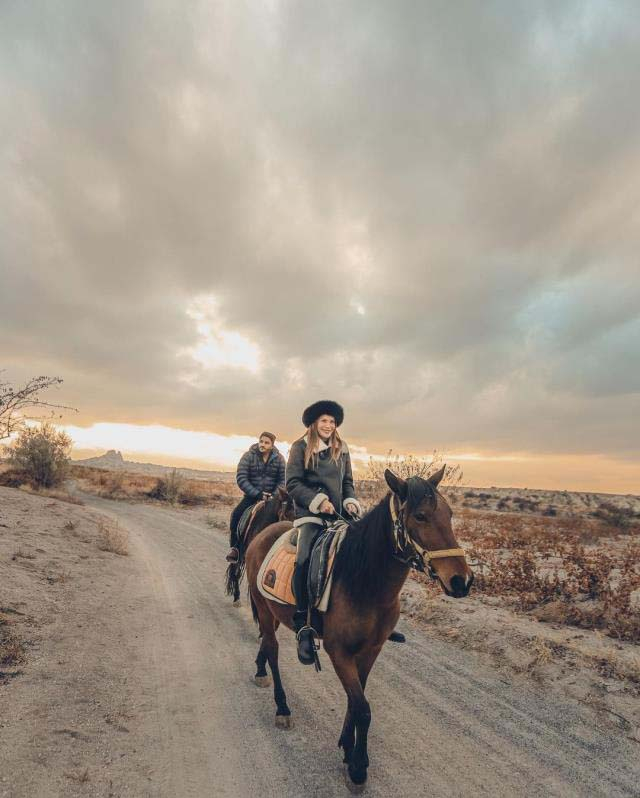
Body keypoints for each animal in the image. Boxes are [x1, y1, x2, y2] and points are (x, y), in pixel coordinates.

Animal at [244, 468, 470, 792]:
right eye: (421, 516)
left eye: (449, 514)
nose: (462, 581)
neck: (364, 583)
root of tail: (265, 533)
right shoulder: (339, 652)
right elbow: (363, 708)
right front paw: (359, 768)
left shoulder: (370, 651)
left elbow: (355, 700)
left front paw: (348, 749)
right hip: (263, 608)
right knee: (273, 650)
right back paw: (282, 707)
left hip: (274, 613)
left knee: (266, 642)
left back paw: (260, 669)